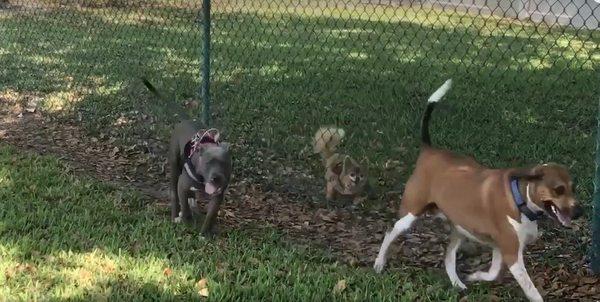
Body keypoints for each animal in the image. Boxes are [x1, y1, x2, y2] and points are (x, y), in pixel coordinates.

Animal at [142, 78, 232, 236]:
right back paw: (176, 215)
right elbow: (184, 205)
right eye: (208, 163)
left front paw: (204, 234)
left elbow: (211, 215)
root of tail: (185, 121)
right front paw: (187, 221)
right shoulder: (182, 186)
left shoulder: (217, 196)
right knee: (174, 194)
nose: (217, 178)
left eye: (225, 163)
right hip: (174, 167)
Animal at [372, 79, 584, 300]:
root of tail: (428, 150)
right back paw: (379, 264)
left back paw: (457, 283)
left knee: (448, 256)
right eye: (558, 190)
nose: (580, 211)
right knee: (390, 231)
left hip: (459, 227)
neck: (520, 199)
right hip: (410, 214)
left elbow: (492, 272)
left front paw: (475, 276)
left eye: (573, 188)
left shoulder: (500, 248)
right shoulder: (511, 254)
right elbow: (532, 292)